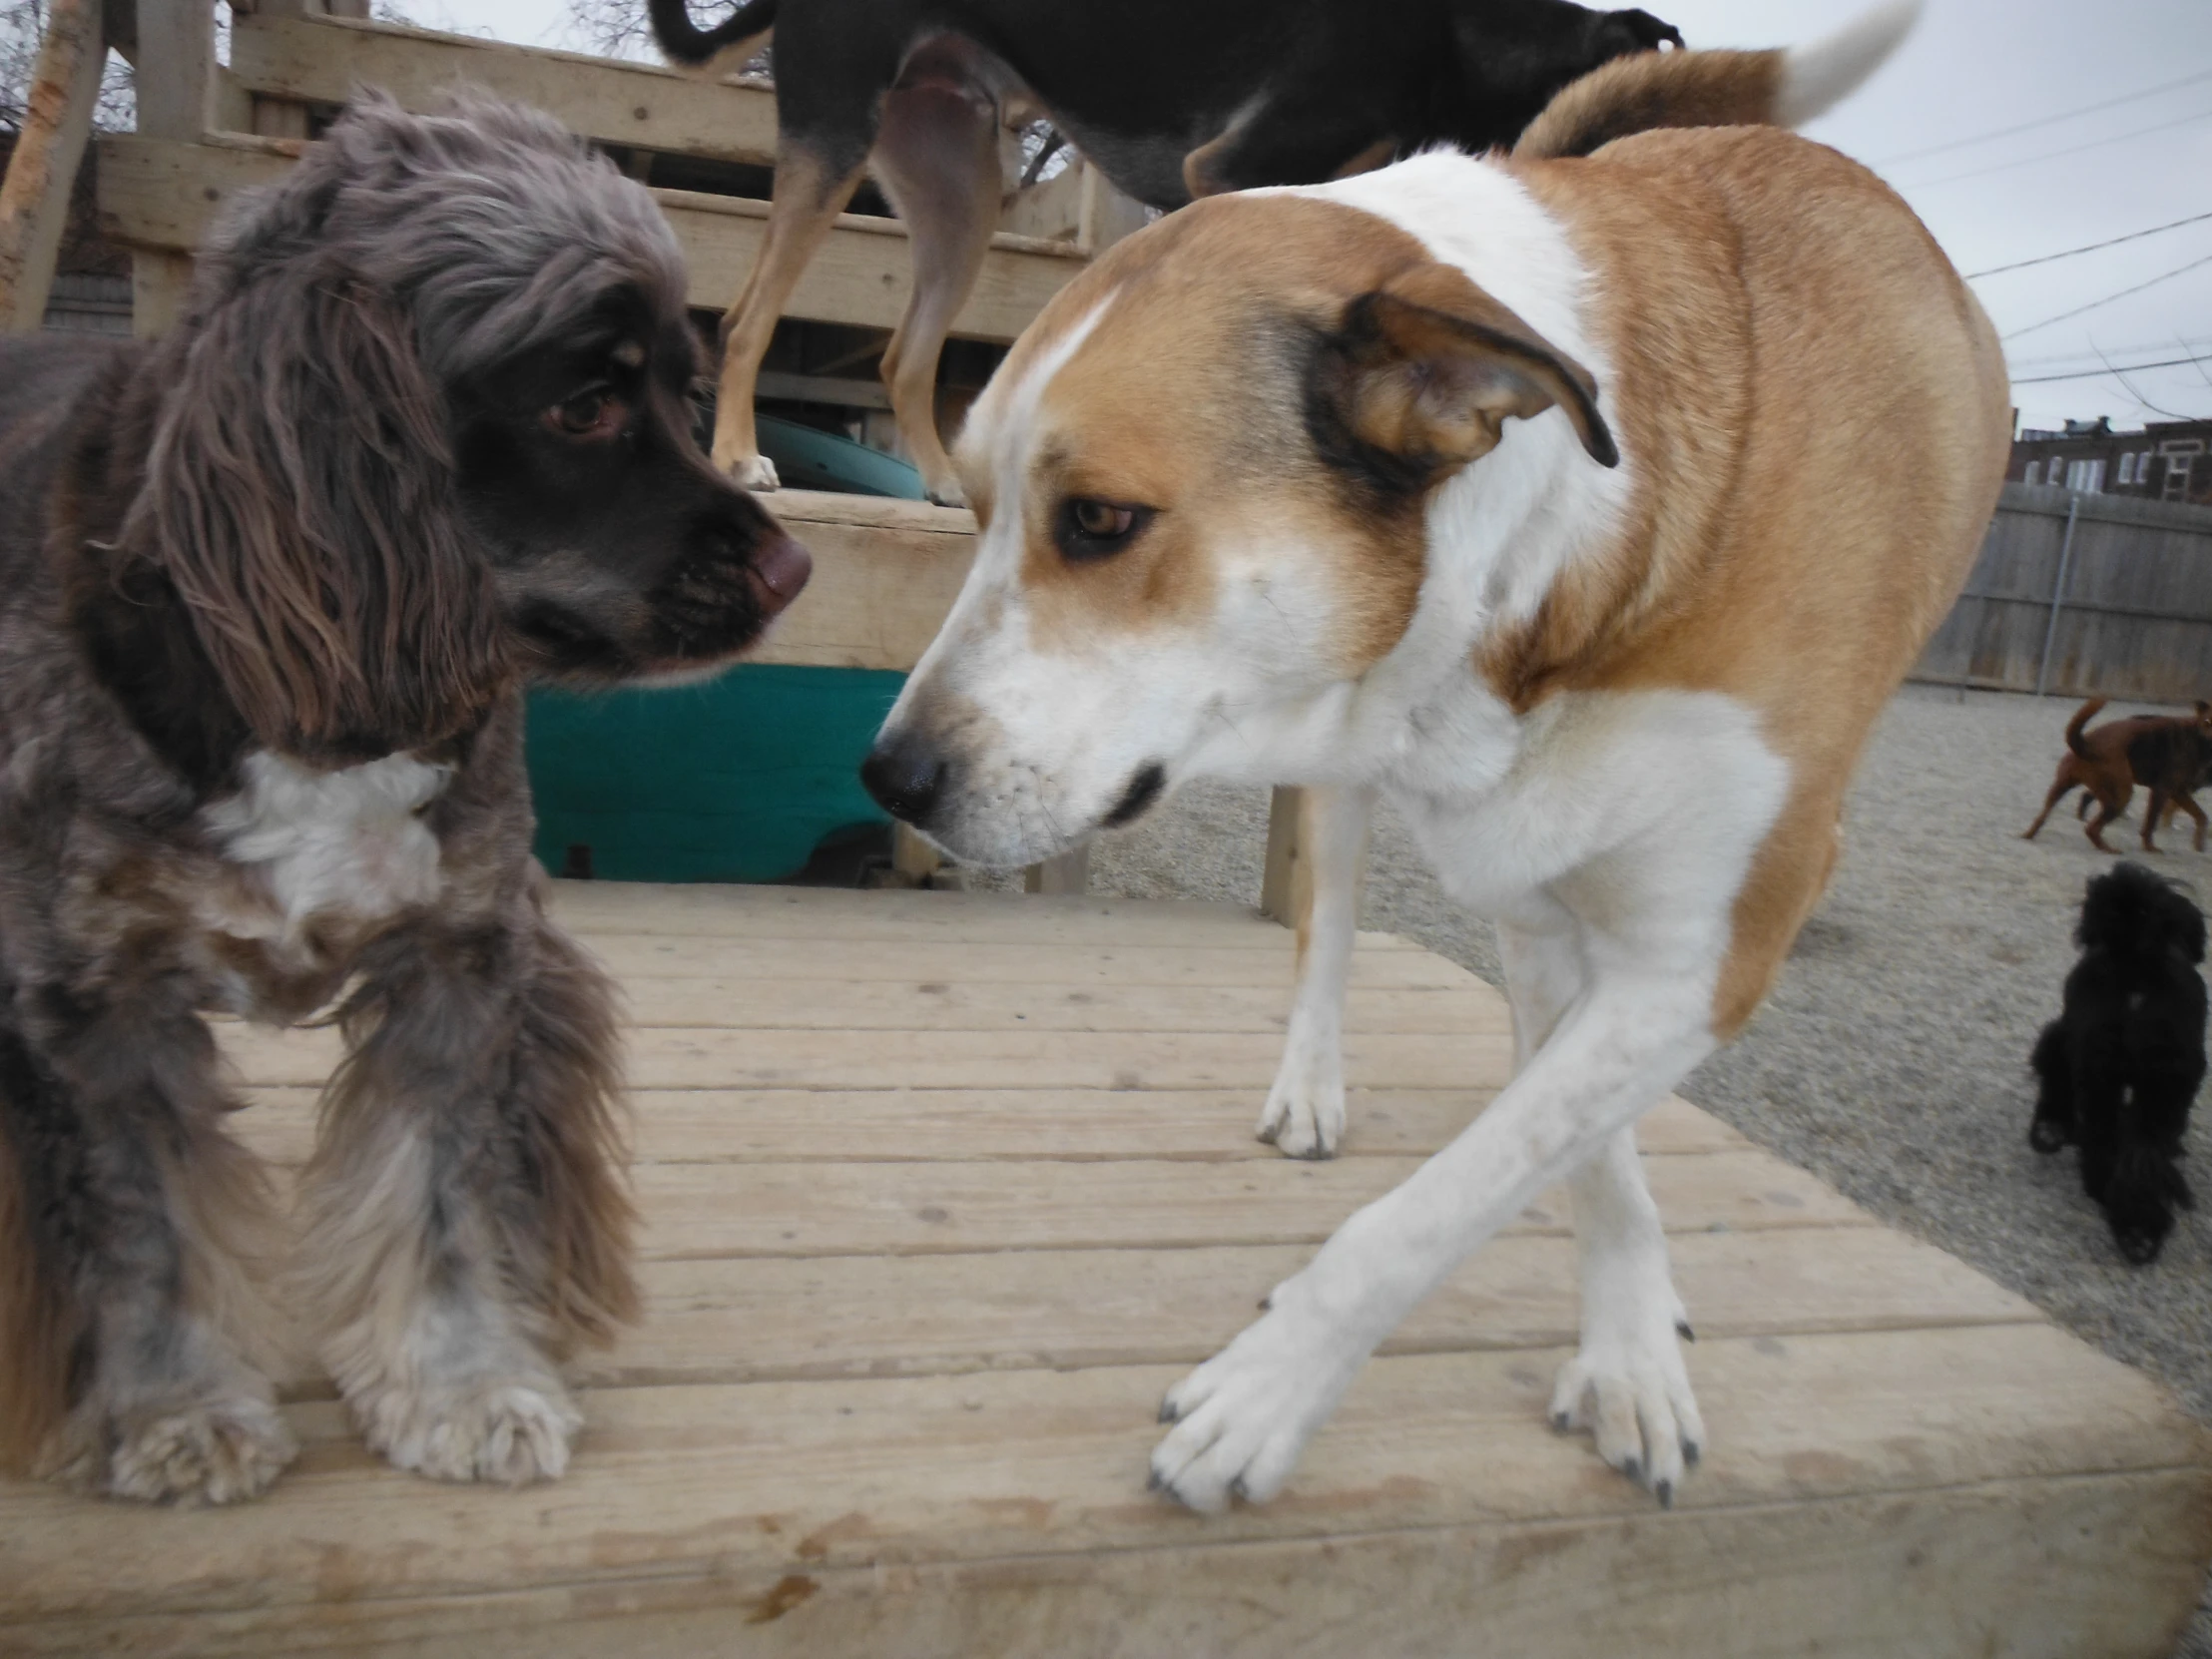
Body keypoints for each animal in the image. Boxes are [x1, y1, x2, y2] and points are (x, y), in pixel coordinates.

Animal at [0, 90, 814, 1503]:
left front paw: (465, 1387)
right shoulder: (91, 1003)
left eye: (684, 391)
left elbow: (442, 1191)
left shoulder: (461, 958)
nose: (794, 568)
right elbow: (140, 1222)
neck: (314, 717)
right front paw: (175, 1412)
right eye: (584, 406)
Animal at [646, 0, 1681, 504]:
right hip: (836, 135)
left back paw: (939, 480)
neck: (1458, 35)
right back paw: (737, 457)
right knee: (746, 318)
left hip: (956, 189)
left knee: (906, 353)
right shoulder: (1228, 170)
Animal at [857, 6, 2008, 1521]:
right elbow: (1561, 1141)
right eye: (978, 505)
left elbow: (1478, 1175)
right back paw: (1312, 1082)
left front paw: (1270, 1391)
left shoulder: (1715, 946)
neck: (1589, 545)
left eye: (1099, 520)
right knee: (1329, 925)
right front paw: (1623, 1338)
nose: (889, 780)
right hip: (1356, 806)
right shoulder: (1537, 897)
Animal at [2025, 703, 2212, 857]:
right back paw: (2108, 848)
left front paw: (2199, 843)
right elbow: (2150, 823)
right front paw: (2149, 847)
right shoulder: (2163, 791)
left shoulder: (2179, 792)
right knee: (2092, 828)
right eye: (2208, 720)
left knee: (2044, 816)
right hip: (2122, 795)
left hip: (2062, 787)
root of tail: (2086, 745)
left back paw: (2028, 834)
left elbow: (2201, 816)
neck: (2197, 738)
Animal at [2025, 862, 2203, 1265]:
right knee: (2135, 1148)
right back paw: (2136, 1227)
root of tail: (2136, 971)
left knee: (2110, 1141)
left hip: (2105, 1072)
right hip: (2143, 1084)